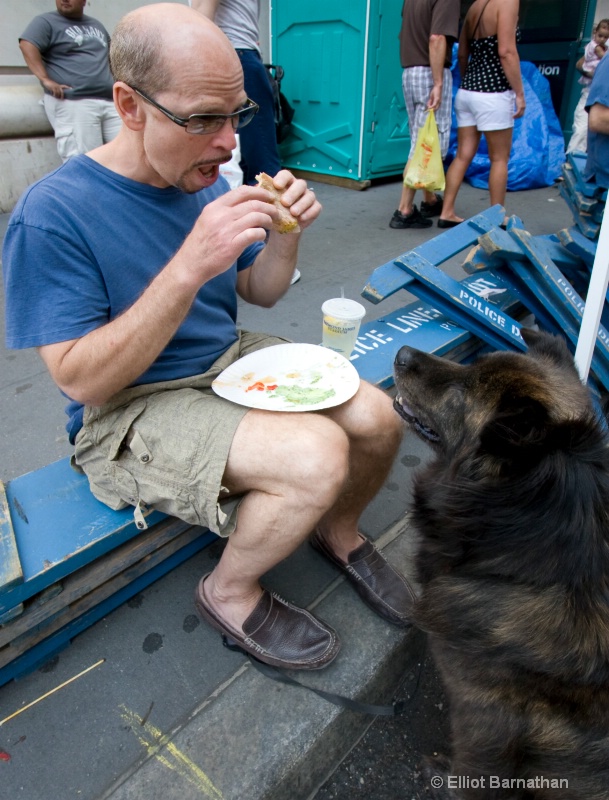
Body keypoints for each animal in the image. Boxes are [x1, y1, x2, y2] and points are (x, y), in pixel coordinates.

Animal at [392, 328, 608, 796]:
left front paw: (442, 776)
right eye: (473, 362)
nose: (401, 353)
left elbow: (472, 774)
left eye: (461, 392)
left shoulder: (484, 716)